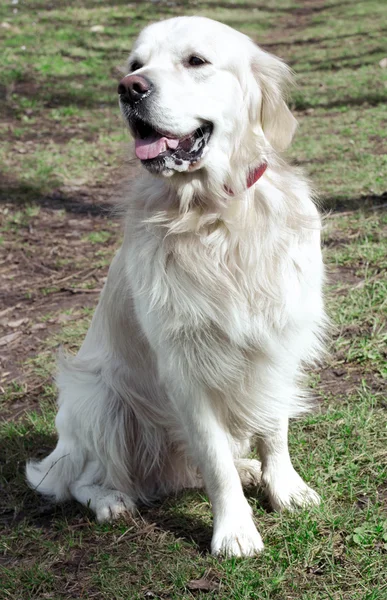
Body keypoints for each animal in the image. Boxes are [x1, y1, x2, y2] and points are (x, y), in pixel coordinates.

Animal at [25, 15, 326, 556]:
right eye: (135, 64)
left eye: (196, 61)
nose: (129, 88)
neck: (215, 217)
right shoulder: (184, 365)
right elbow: (212, 457)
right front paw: (235, 530)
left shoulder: (277, 341)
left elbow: (274, 426)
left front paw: (284, 487)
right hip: (97, 397)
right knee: (82, 479)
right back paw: (110, 500)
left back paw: (247, 468)